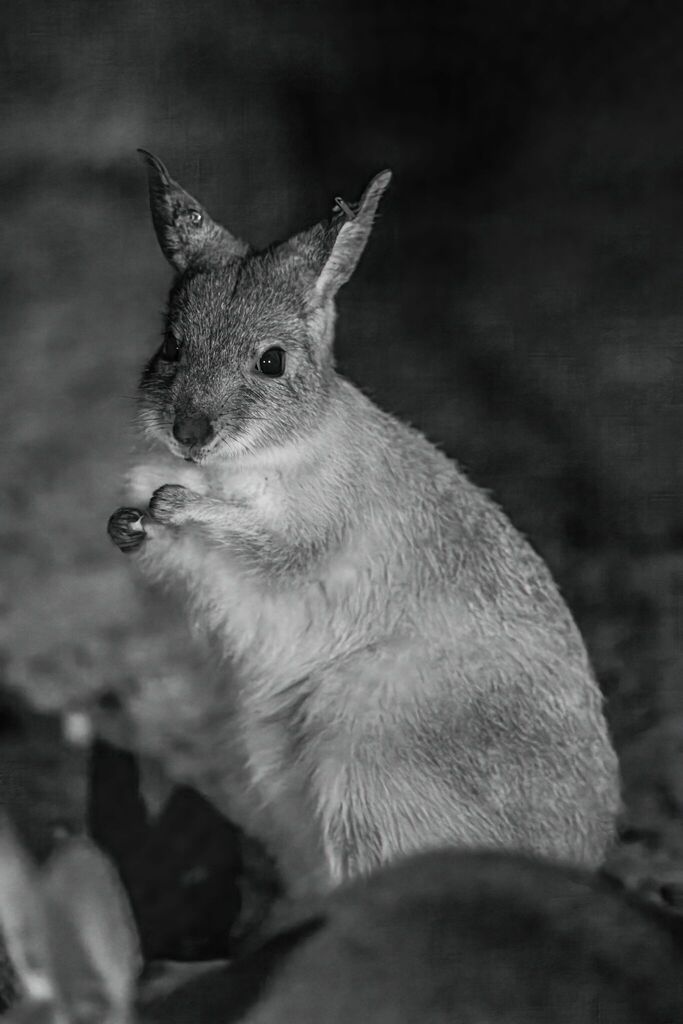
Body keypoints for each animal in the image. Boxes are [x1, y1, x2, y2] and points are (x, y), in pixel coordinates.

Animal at [107, 151, 620, 900]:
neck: (255, 456)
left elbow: (263, 540)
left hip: (364, 750)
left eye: (271, 361)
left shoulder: (311, 536)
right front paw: (129, 523)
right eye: (171, 347)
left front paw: (173, 503)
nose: (189, 432)